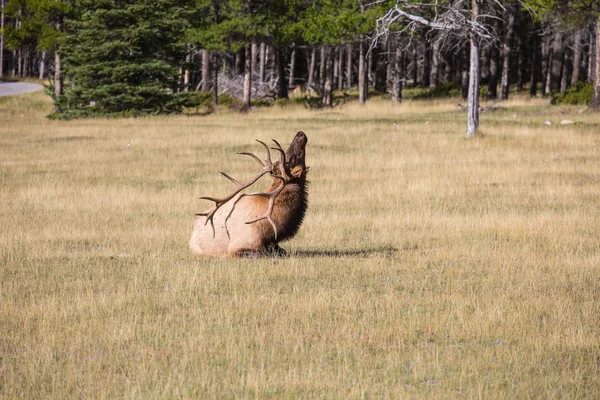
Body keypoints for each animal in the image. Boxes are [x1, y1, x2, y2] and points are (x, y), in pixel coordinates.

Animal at [189, 130, 310, 258]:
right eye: (292, 158)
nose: (300, 133)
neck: (270, 231)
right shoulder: (237, 248)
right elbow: (261, 254)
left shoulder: (274, 245)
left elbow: (282, 251)